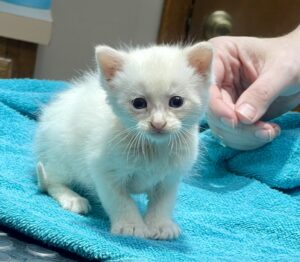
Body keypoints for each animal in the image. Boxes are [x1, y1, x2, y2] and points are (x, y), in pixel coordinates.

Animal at [34, 42, 213, 239]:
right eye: (139, 103)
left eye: (176, 101)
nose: (158, 123)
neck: (153, 147)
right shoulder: (104, 171)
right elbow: (121, 201)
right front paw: (131, 225)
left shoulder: (170, 178)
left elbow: (163, 203)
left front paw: (160, 225)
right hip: (62, 156)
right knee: (51, 181)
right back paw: (73, 198)